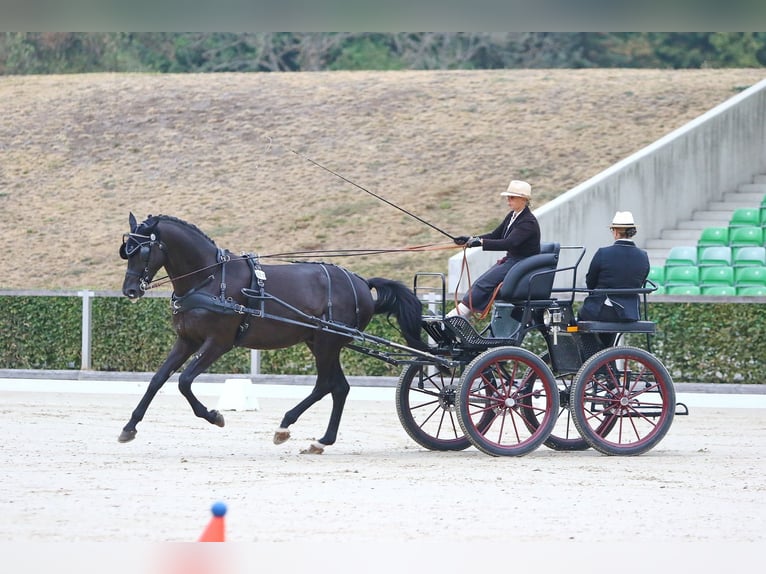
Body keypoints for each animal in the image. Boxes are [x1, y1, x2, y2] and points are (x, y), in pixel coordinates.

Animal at [118, 213, 428, 454]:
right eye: (126, 250)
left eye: (141, 250)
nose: (130, 290)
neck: (210, 280)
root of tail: (362, 282)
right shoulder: (186, 341)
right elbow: (157, 380)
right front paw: (129, 427)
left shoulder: (218, 343)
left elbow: (184, 381)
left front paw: (214, 416)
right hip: (320, 342)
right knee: (339, 387)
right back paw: (321, 441)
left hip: (327, 343)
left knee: (325, 385)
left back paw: (285, 426)